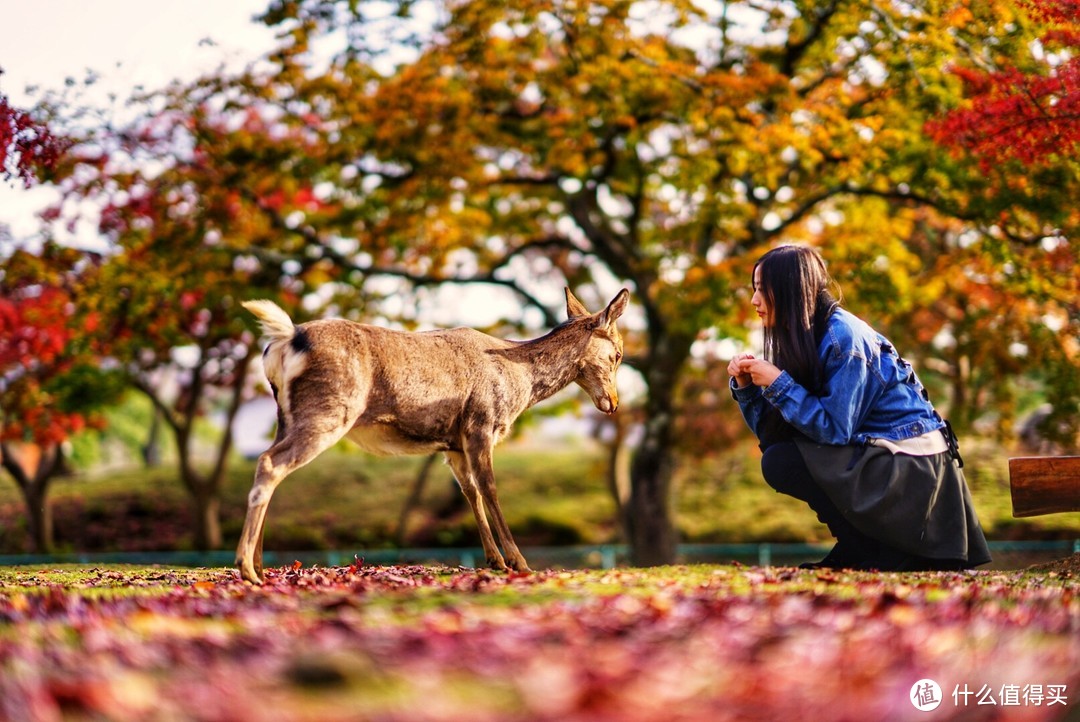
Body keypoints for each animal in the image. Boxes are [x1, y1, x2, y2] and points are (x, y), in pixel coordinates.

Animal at [232, 284, 630, 582]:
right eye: (618, 354)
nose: (612, 402)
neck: (519, 384)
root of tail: (286, 338)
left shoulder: (452, 444)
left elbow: (470, 493)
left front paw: (494, 560)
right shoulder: (481, 423)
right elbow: (490, 488)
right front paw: (518, 562)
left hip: (287, 415)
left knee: (272, 466)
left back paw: (261, 567)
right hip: (330, 409)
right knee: (270, 464)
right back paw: (247, 568)